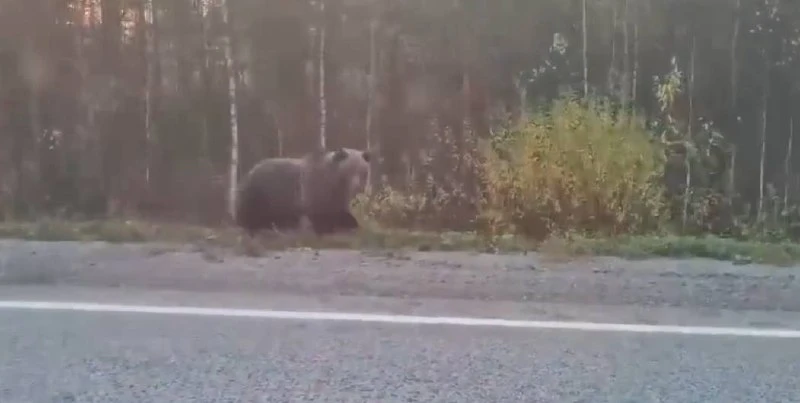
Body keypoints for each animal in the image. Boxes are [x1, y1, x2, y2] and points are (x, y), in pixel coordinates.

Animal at [234, 147, 371, 237]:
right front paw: (325, 228)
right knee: (251, 214)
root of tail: (249, 171)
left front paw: (353, 224)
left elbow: (344, 214)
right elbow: (319, 215)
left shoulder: (338, 199)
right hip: (259, 193)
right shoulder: (314, 190)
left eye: (362, 171)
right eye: (349, 170)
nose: (357, 187)